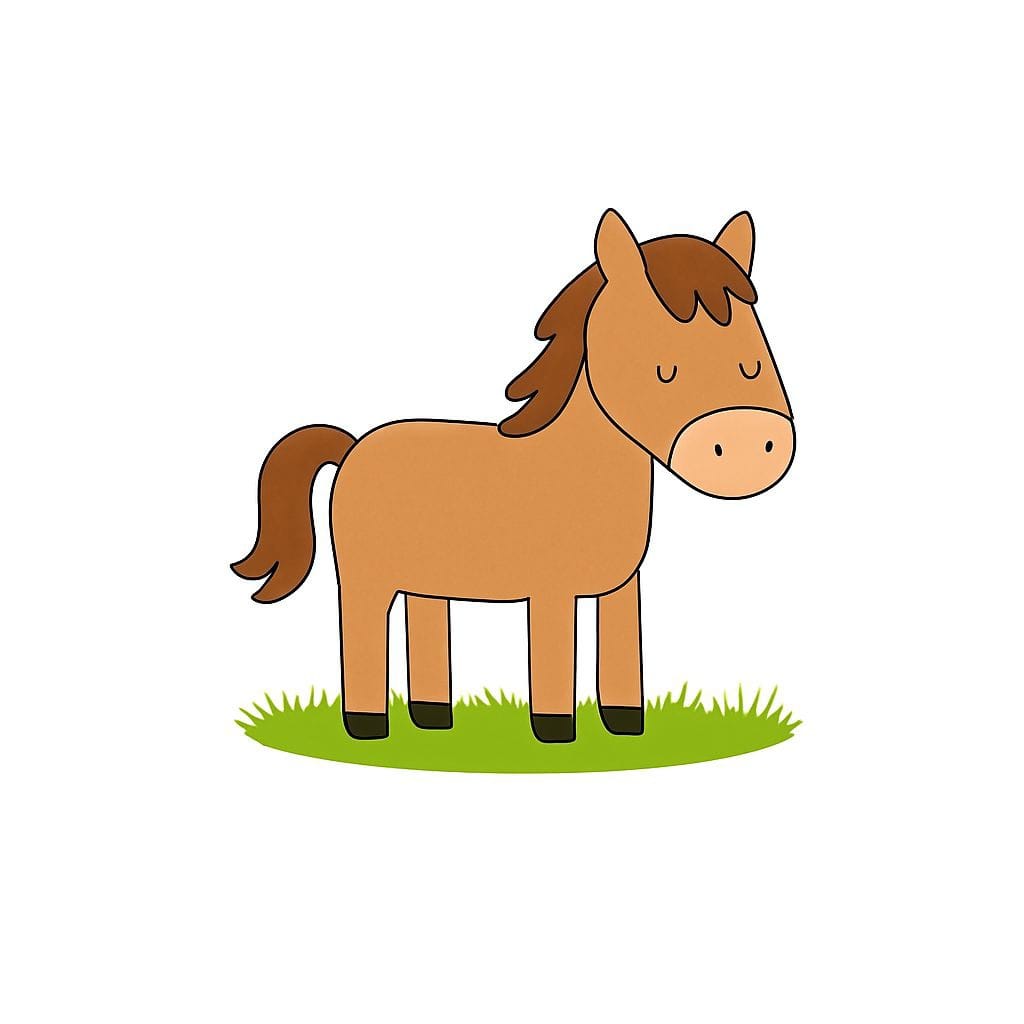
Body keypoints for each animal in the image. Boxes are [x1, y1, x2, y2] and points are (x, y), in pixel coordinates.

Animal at [232, 210, 795, 743]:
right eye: (663, 370)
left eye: (755, 360)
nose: (749, 446)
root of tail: (351, 447)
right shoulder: (550, 593)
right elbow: (552, 662)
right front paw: (557, 736)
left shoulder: (622, 590)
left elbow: (622, 660)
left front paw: (626, 728)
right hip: (366, 581)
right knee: (361, 634)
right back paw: (369, 727)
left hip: (427, 582)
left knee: (426, 626)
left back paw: (434, 720)